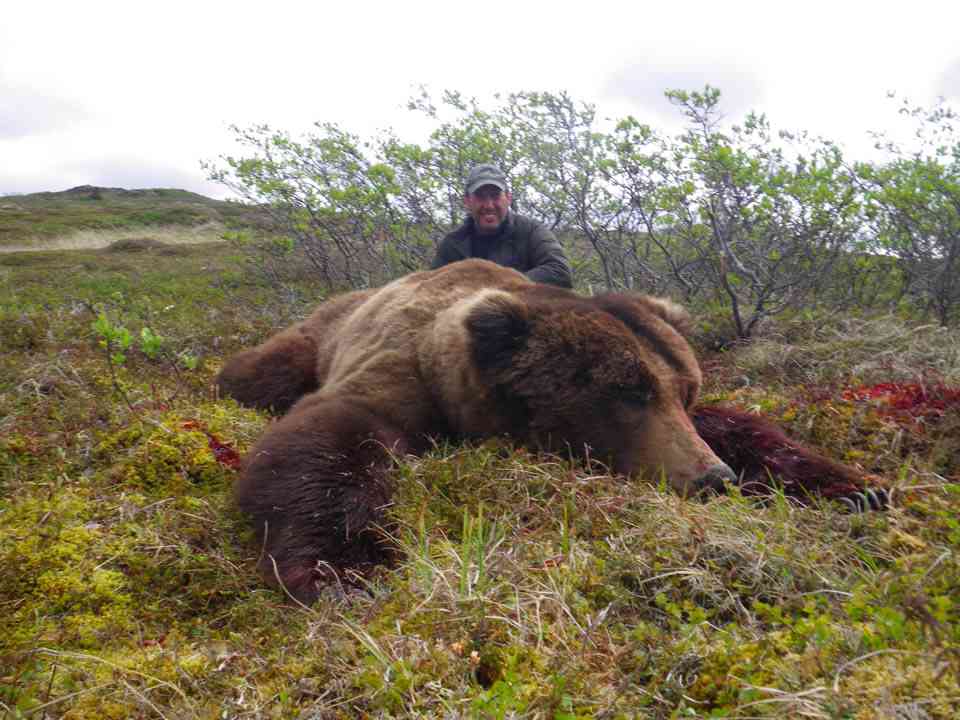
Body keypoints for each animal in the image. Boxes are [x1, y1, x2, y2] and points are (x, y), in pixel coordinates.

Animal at [217, 259, 885, 602]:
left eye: (685, 388)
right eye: (628, 392)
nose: (711, 478)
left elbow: (744, 429)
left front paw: (856, 485)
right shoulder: (397, 377)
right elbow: (328, 440)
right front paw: (348, 571)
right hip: (311, 338)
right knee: (257, 372)